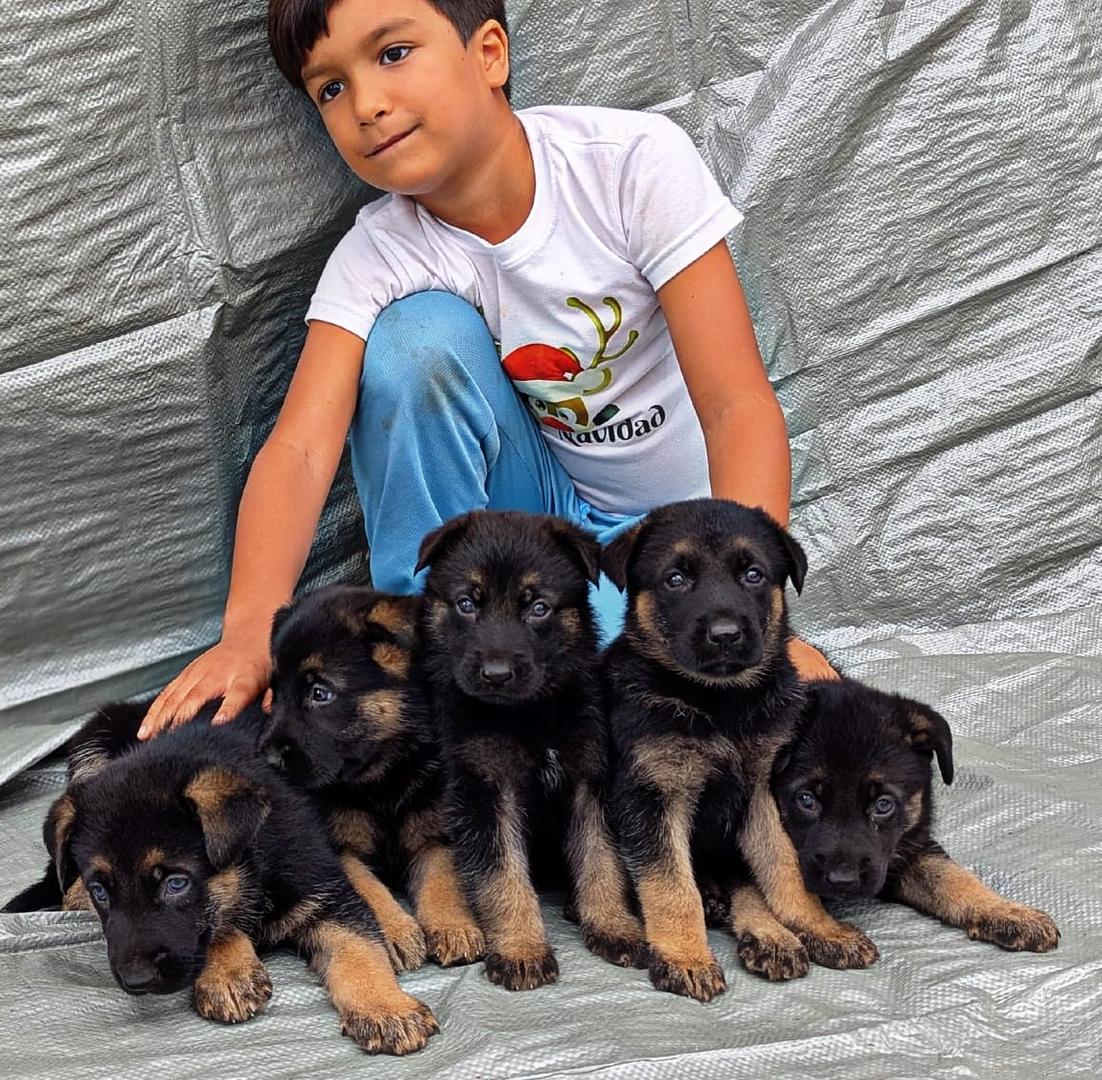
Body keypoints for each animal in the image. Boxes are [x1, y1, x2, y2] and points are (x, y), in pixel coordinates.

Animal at [7, 700, 443, 1053]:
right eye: (102, 890)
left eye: (176, 883)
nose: (136, 980)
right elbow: (215, 924)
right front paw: (228, 973)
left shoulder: (326, 890)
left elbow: (358, 947)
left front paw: (386, 1009)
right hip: (97, 735)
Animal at [260, 586, 484, 974]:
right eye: (274, 693)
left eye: (320, 694)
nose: (269, 760)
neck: (382, 778)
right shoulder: (338, 852)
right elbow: (370, 888)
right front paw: (395, 931)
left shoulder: (433, 837)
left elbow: (442, 879)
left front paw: (454, 925)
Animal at [416, 511, 647, 991]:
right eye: (466, 604)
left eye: (538, 608)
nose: (496, 674)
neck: (528, 714)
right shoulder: (487, 791)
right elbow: (503, 874)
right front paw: (521, 949)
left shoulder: (588, 780)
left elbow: (601, 858)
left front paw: (614, 926)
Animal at [603, 500, 877, 1005]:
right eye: (675, 579)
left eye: (753, 575)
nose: (725, 635)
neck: (719, 704)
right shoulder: (652, 798)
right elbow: (671, 885)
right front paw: (685, 956)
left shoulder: (764, 792)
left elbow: (783, 865)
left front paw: (820, 927)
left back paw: (772, 936)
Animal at [771, 683, 1062, 952]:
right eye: (806, 800)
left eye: (883, 805)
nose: (843, 882)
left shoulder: (911, 845)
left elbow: (951, 875)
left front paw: (1006, 912)